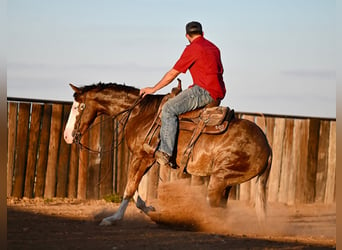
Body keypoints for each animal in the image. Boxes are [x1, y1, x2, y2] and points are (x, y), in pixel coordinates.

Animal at [63, 82, 272, 227]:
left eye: (79, 107)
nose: (67, 136)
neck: (140, 113)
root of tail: (267, 147)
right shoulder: (147, 159)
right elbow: (134, 188)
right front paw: (148, 208)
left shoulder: (142, 157)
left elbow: (129, 187)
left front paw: (112, 218)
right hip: (227, 182)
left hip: (219, 179)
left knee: (214, 207)